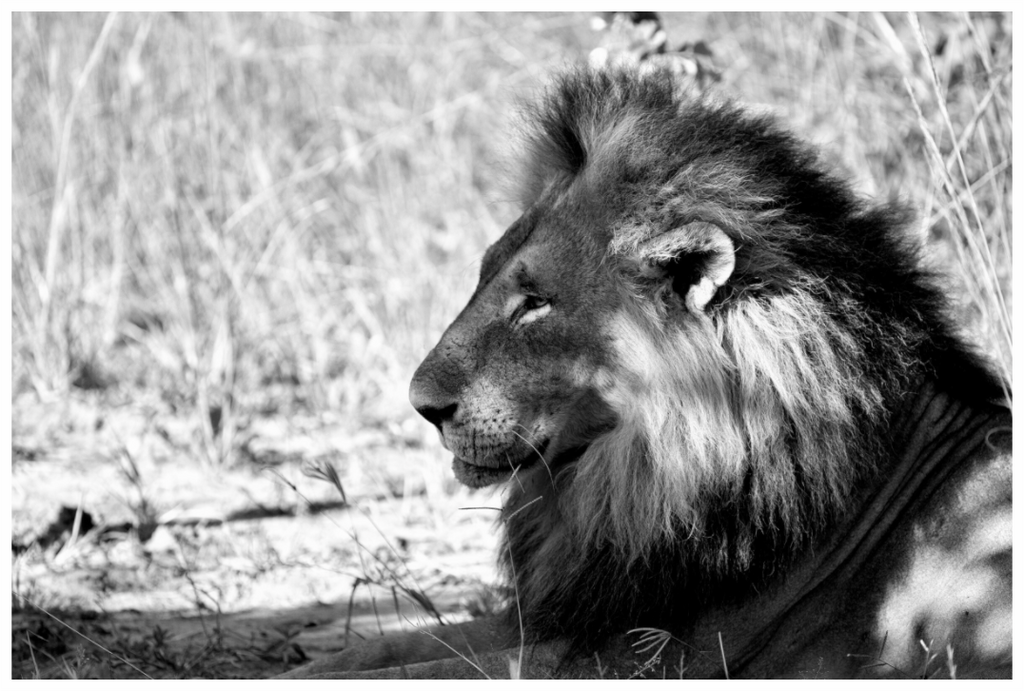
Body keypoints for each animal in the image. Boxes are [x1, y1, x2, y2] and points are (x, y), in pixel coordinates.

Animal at [283, 66, 1011, 679]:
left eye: (535, 301)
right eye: (484, 274)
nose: (422, 405)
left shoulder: (632, 655)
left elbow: (415, 667)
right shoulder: (573, 614)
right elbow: (393, 646)